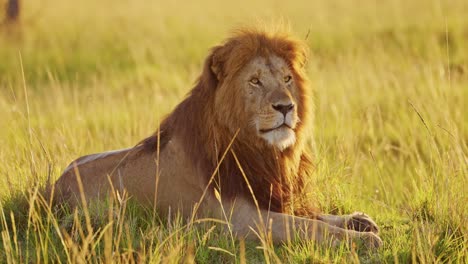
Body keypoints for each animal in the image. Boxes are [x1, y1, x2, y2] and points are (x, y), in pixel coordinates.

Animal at [52, 27, 380, 249]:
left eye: (287, 79)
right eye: (255, 81)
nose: (287, 107)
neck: (259, 151)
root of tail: (50, 188)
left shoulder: (267, 196)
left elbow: (314, 217)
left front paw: (358, 221)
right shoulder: (240, 220)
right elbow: (308, 227)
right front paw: (362, 240)